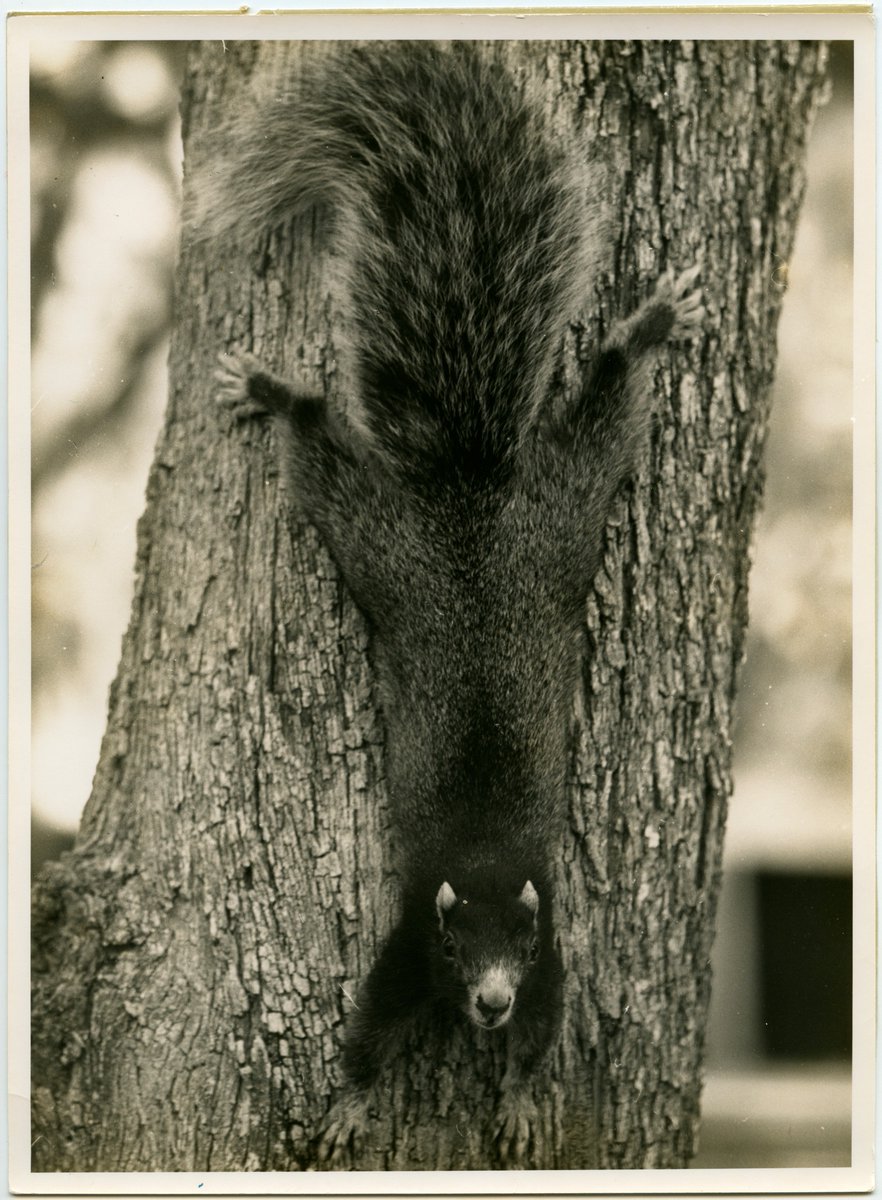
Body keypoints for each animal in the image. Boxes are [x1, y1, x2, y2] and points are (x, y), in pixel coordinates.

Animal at [196, 41, 702, 1165]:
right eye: (455, 945)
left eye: (517, 940)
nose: (490, 1004)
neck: (480, 864)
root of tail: (467, 495)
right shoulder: (402, 948)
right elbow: (371, 1027)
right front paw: (350, 1105)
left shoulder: (555, 952)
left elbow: (552, 1028)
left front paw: (517, 1096)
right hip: (391, 538)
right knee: (329, 448)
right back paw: (280, 392)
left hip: (555, 514)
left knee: (603, 397)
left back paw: (646, 325)